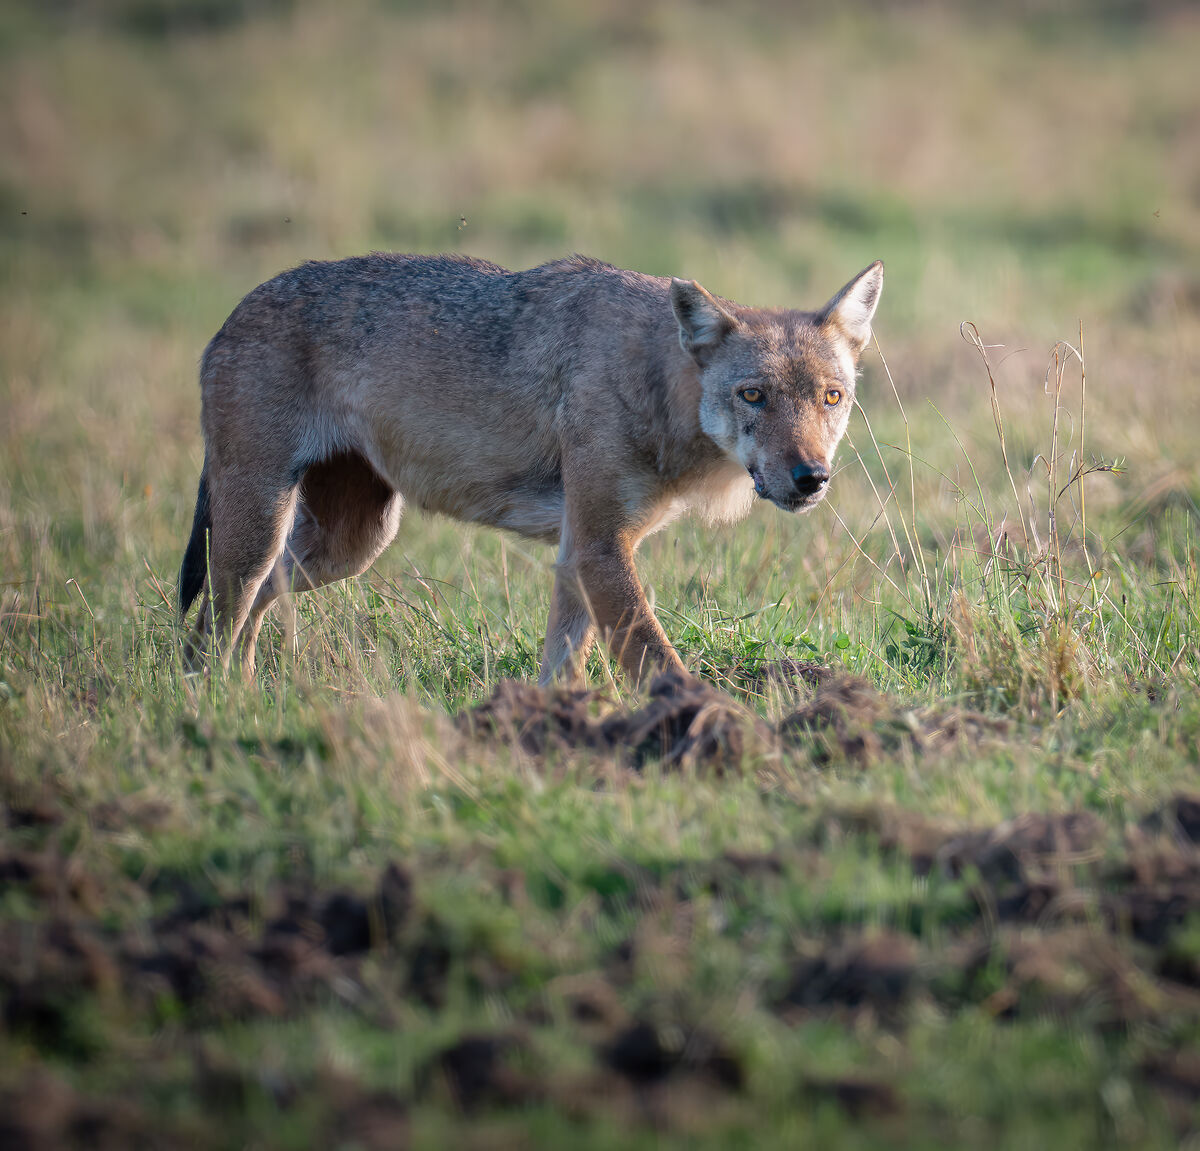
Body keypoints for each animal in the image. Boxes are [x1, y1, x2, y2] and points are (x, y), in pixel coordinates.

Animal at [179, 253, 883, 683]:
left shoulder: (579, 554)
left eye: (831, 398)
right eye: (754, 395)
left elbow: (562, 670)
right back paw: (211, 707)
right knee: (212, 624)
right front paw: (714, 731)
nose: (811, 477)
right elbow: (660, 664)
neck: (656, 384)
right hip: (264, 530)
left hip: (349, 545)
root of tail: (231, 314)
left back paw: (249, 700)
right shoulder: (599, 547)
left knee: (248, 609)